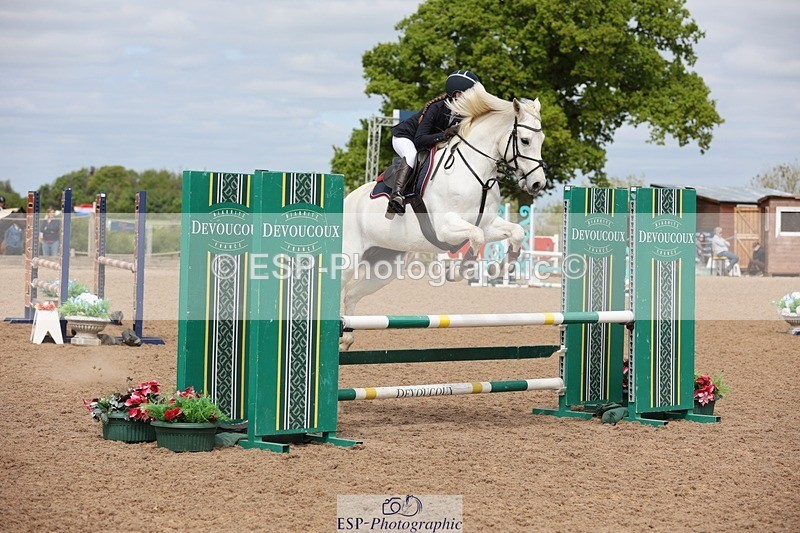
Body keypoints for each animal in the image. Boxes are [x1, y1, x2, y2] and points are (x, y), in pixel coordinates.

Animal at [340, 84, 547, 350]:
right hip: (348, 259)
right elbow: (476, 237)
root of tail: (347, 199)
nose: (538, 184)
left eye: (542, 140)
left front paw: (500, 268)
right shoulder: (446, 227)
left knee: (352, 293)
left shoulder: (488, 224)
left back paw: (346, 338)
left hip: (385, 265)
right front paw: (459, 271)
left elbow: (516, 232)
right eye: (524, 140)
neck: (477, 171)